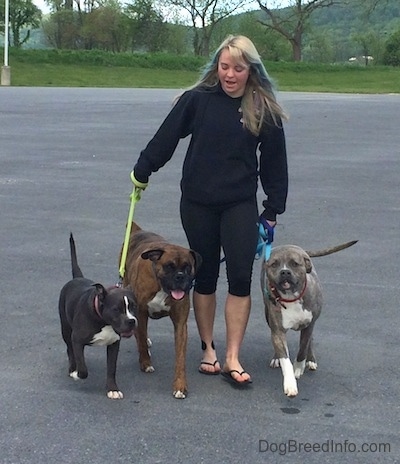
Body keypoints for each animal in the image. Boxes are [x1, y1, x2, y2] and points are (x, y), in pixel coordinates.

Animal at [58, 234, 138, 400]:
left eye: (134, 307)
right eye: (116, 309)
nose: (131, 321)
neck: (103, 321)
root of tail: (77, 278)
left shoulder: (114, 344)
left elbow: (111, 368)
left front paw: (113, 389)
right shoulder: (77, 340)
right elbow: (83, 367)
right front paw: (77, 373)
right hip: (66, 330)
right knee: (70, 350)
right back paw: (72, 369)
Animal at [120, 222, 202, 398]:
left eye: (187, 267)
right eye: (169, 266)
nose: (180, 277)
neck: (161, 286)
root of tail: (138, 231)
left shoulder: (180, 324)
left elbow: (180, 358)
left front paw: (180, 385)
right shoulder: (141, 314)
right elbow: (141, 337)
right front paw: (145, 362)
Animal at [260, 241, 358, 396]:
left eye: (295, 264)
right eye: (274, 264)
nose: (285, 272)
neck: (291, 297)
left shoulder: (309, 324)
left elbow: (303, 349)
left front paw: (298, 367)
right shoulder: (278, 331)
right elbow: (285, 359)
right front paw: (290, 384)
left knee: (310, 341)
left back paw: (311, 359)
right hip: (267, 315)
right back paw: (276, 358)